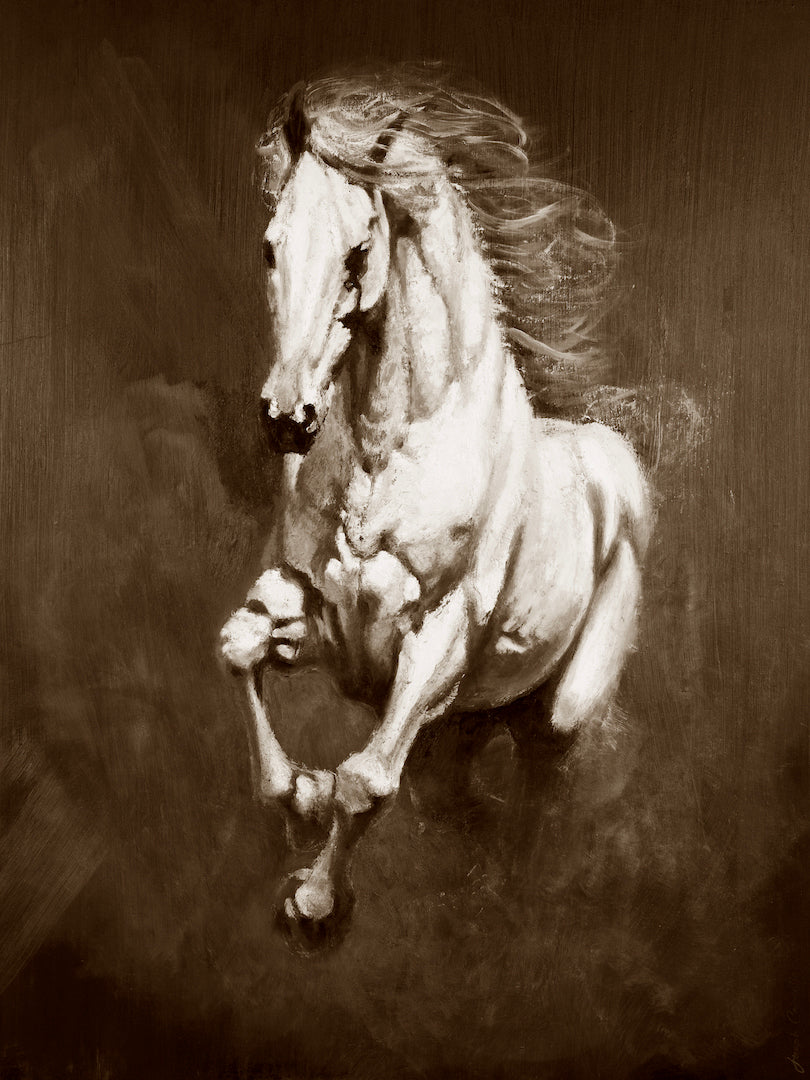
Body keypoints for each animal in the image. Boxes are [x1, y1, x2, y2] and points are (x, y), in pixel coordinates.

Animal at [219, 73, 652, 949]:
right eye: (271, 246)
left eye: (358, 251)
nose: (287, 417)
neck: (391, 454)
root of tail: (614, 467)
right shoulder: (317, 615)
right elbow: (240, 648)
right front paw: (297, 793)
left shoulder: (438, 641)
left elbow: (365, 780)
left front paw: (315, 902)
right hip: (466, 731)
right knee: (467, 813)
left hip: (556, 717)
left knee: (539, 799)